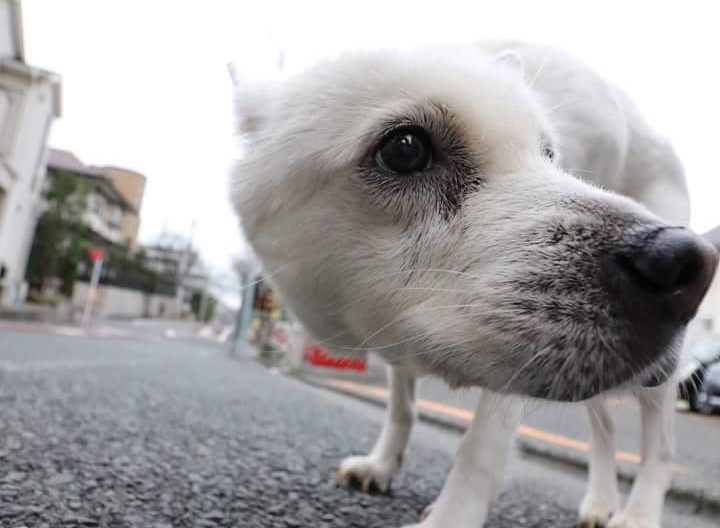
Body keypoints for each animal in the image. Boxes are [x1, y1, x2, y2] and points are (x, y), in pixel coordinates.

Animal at [233, 41, 716, 528]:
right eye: (404, 149)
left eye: (549, 156)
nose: (687, 263)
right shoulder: (404, 332)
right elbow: (402, 407)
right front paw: (383, 463)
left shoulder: (509, 348)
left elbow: (480, 449)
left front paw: (451, 516)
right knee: (606, 428)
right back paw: (599, 502)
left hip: (658, 381)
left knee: (660, 449)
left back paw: (638, 514)